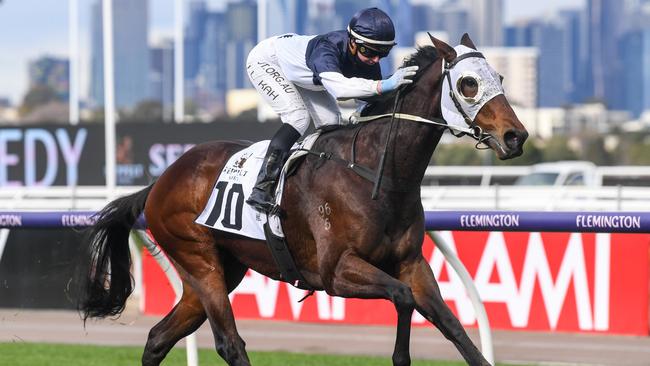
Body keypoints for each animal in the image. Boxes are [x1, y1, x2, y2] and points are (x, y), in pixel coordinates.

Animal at [77, 33, 528, 364]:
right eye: (469, 84)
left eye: (501, 79)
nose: (516, 136)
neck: (375, 173)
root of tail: (160, 181)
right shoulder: (336, 272)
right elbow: (401, 299)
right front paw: (401, 357)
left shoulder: (411, 263)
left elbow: (453, 327)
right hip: (199, 259)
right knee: (229, 344)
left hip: (218, 269)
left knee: (158, 336)